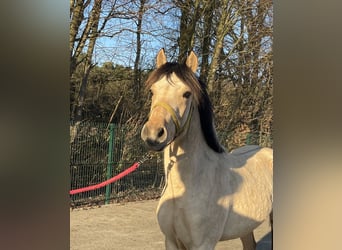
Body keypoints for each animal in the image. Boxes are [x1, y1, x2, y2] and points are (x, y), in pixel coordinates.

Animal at [140, 47, 272, 249]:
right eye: (152, 91)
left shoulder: (203, 244)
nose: (154, 133)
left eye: (187, 93)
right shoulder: (171, 241)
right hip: (245, 227)